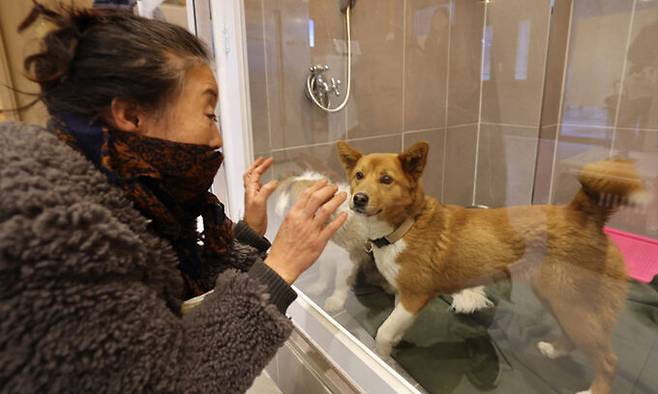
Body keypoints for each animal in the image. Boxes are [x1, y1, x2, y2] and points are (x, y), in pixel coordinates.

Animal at [336, 140, 644, 394]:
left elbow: (384, 331)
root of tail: (582, 212)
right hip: (559, 301)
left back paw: (593, 389)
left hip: (573, 304)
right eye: (359, 176)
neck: (406, 225)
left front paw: (382, 357)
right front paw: (394, 348)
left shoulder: (415, 297)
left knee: (608, 359)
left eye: (386, 179)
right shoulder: (404, 296)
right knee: (575, 340)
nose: (358, 198)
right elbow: (395, 325)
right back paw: (553, 351)